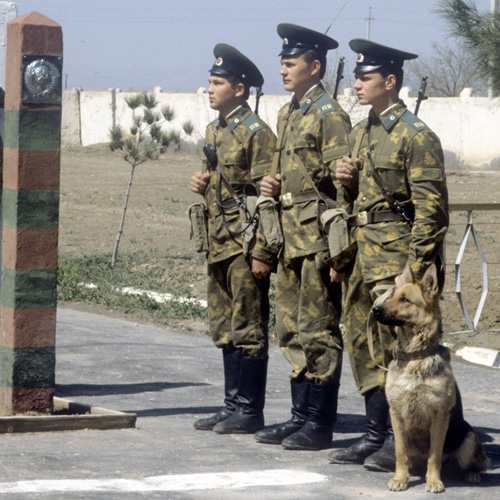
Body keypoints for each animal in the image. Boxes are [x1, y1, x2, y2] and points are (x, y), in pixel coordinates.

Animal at [372, 264, 488, 494]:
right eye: (393, 296)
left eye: (405, 299)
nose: (375, 309)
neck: (415, 357)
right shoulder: (396, 415)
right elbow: (400, 453)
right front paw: (400, 478)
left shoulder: (439, 416)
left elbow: (434, 456)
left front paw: (434, 481)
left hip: (469, 439)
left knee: (476, 464)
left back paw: (471, 474)